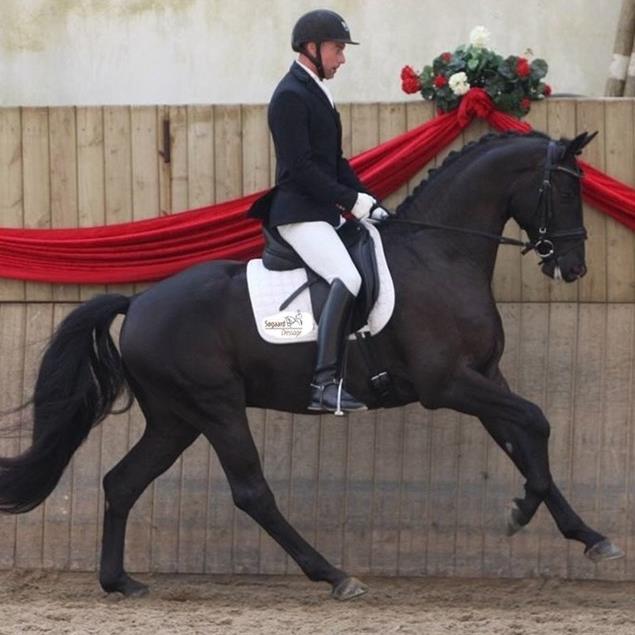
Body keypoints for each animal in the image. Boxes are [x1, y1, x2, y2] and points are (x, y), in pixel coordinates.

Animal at [0, 130, 624, 600]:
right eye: (564, 190)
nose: (573, 266)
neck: (440, 255)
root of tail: (139, 302)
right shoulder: (447, 384)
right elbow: (537, 422)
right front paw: (523, 512)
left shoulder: (484, 376)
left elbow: (522, 439)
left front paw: (586, 534)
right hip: (216, 407)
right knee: (251, 492)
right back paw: (335, 575)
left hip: (176, 419)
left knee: (123, 482)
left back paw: (120, 582)